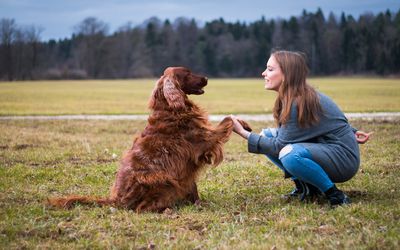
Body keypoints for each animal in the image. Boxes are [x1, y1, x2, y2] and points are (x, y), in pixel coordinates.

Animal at [48, 67, 252, 213]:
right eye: (187, 73)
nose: (207, 78)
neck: (170, 109)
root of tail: (116, 199)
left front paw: (246, 124)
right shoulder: (205, 140)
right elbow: (227, 120)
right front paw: (241, 123)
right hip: (163, 179)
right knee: (141, 209)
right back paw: (167, 210)